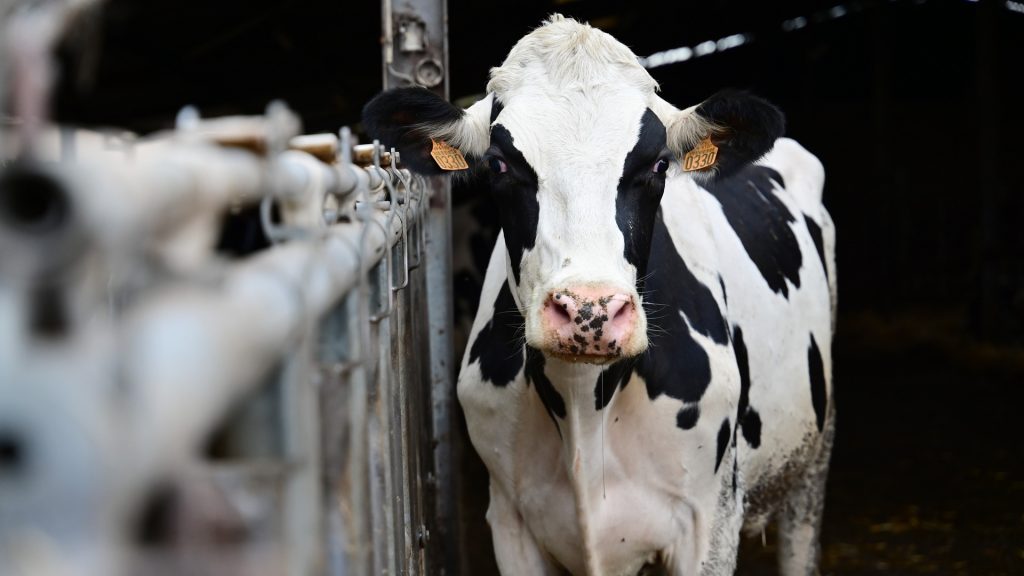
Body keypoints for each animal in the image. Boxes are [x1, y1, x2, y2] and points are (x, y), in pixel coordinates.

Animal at [363, 15, 835, 576]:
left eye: (658, 166)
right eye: (499, 164)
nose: (590, 311)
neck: (583, 405)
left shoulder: (711, 521)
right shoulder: (511, 522)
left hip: (813, 455)